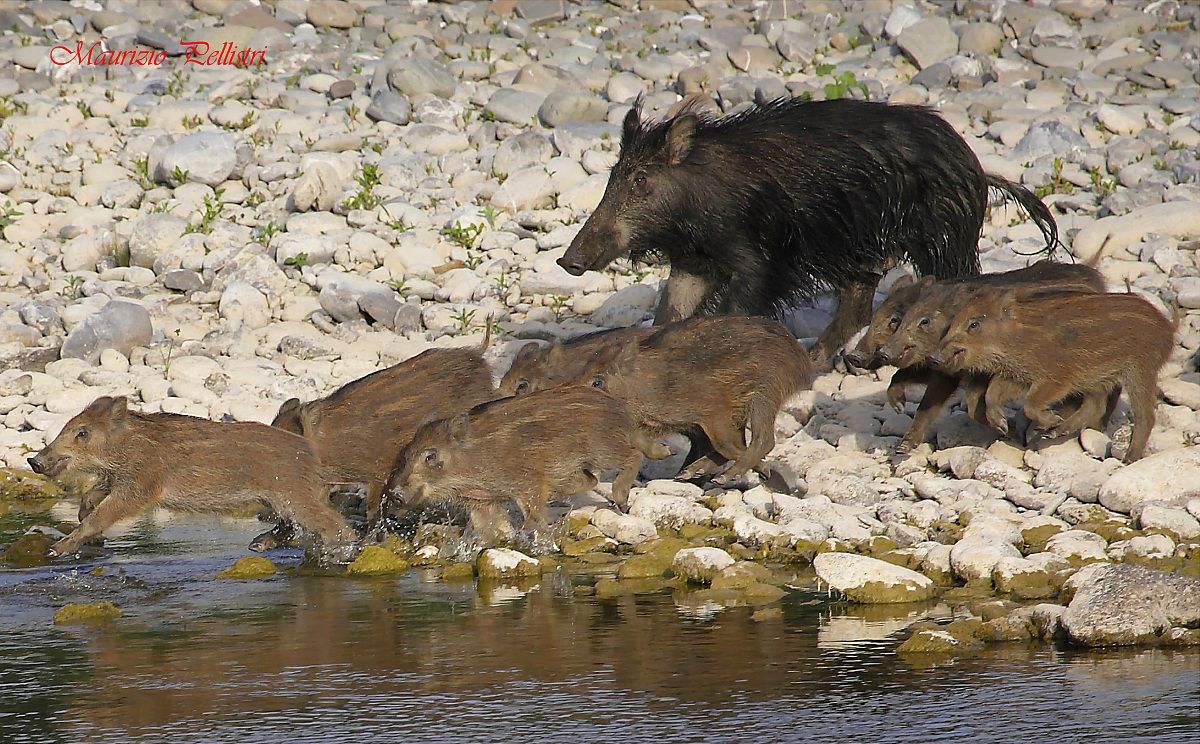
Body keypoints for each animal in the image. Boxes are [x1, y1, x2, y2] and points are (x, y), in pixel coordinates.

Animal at [27, 396, 357, 558]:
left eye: (82, 433)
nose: (33, 460)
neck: (129, 446)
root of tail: (312, 451)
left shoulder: (143, 486)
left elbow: (102, 516)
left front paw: (54, 551)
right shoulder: (118, 479)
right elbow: (91, 495)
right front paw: (85, 522)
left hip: (292, 495)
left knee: (334, 524)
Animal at [384, 387, 670, 540]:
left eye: (430, 456)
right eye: (404, 455)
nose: (394, 495)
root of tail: (621, 410)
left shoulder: (527, 481)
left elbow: (532, 516)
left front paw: (541, 534)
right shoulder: (481, 501)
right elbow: (485, 529)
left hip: (603, 448)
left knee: (633, 455)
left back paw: (623, 497)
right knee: (590, 479)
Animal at [556, 97, 1059, 368]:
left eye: (641, 180)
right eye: (613, 175)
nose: (568, 260)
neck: (698, 202)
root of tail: (978, 172)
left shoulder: (759, 259)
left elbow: (736, 310)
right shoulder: (694, 263)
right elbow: (669, 314)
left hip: (944, 238)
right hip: (860, 252)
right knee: (856, 306)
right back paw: (823, 363)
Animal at [565, 316, 815, 484]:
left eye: (597, 382)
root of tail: (802, 357)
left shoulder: (716, 412)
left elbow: (726, 445)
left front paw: (765, 472)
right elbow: (639, 439)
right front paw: (669, 454)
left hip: (766, 395)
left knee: (764, 440)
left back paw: (723, 477)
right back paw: (688, 473)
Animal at [931, 289, 1176, 462]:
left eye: (974, 324)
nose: (934, 357)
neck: (1017, 340)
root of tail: (1169, 329)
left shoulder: (1058, 376)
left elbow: (1030, 403)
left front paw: (1049, 419)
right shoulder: (1019, 376)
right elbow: (992, 393)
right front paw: (1001, 425)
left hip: (1140, 369)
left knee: (1145, 415)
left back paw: (1129, 459)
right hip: (1098, 378)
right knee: (1096, 406)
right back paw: (1057, 431)